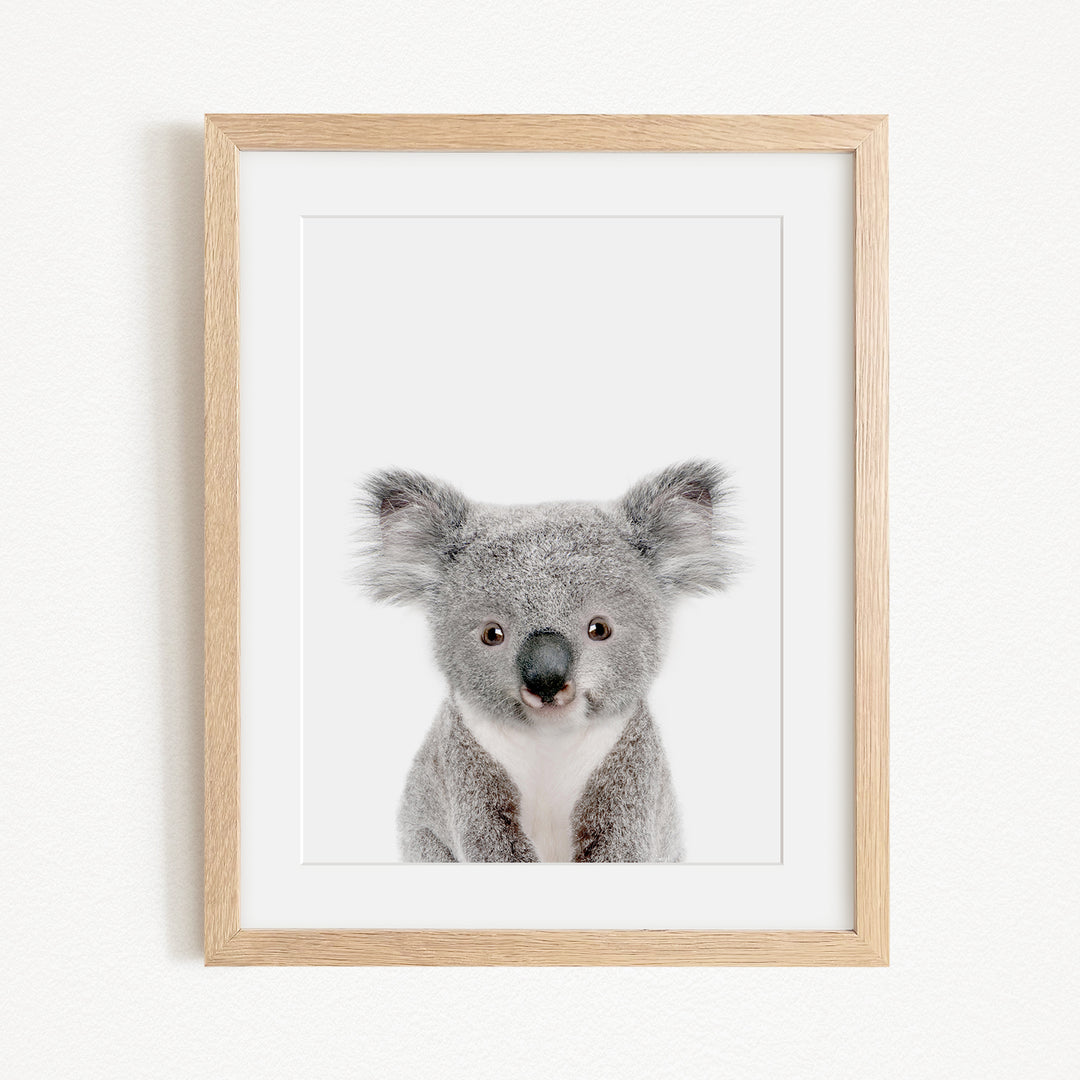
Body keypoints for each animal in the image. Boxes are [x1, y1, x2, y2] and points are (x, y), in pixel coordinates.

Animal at [357, 461, 737, 863]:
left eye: (599, 629)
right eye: (492, 634)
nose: (546, 680)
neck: (549, 739)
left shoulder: (632, 768)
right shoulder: (464, 766)